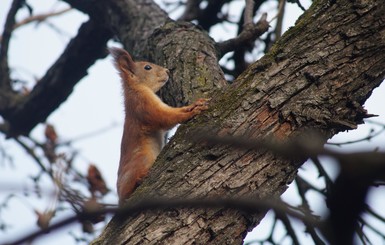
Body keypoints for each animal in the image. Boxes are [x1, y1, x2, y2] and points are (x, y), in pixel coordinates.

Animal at [108, 48, 210, 205]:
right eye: (147, 67)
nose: (167, 71)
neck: (136, 88)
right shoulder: (144, 105)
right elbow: (165, 117)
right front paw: (192, 112)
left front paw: (193, 105)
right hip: (141, 160)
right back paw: (139, 179)